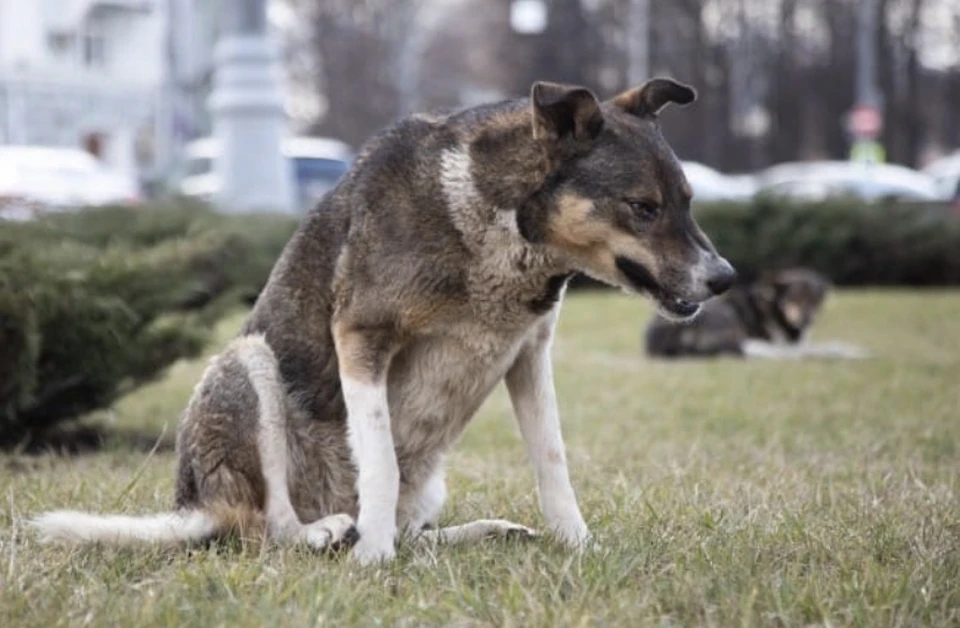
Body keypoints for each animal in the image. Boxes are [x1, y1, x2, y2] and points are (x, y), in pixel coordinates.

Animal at [28, 77, 736, 564]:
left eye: (688, 201)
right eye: (642, 207)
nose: (725, 277)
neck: (495, 225)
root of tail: (195, 506)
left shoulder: (529, 356)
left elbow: (553, 463)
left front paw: (579, 545)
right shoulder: (362, 337)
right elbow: (380, 461)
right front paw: (372, 557)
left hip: (431, 481)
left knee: (412, 528)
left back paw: (478, 532)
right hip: (247, 365)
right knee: (269, 528)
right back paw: (330, 532)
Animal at [644, 268, 872, 360]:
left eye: (816, 300)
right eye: (795, 299)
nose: (807, 321)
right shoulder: (786, 344)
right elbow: (826, 348)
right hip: (726, 314)